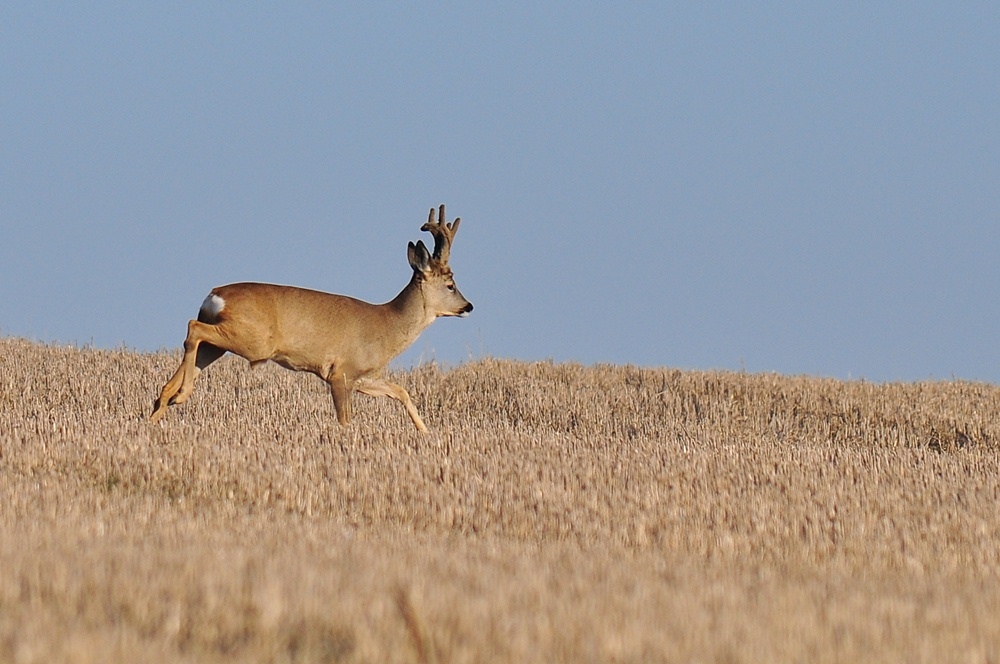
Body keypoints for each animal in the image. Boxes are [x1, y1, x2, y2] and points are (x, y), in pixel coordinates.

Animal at [149, 204, 472, 432]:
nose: (468, 306)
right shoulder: (341, 372)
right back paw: (179, 396)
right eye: (450, 284)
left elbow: (400, 391)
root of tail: (215, 295)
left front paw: (426, 433)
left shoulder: (362, 376)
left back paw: (161, 405)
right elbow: (345, 419)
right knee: (193, 328)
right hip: (254, 340)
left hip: (222, 343)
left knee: (192, 344)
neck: (387, 324)